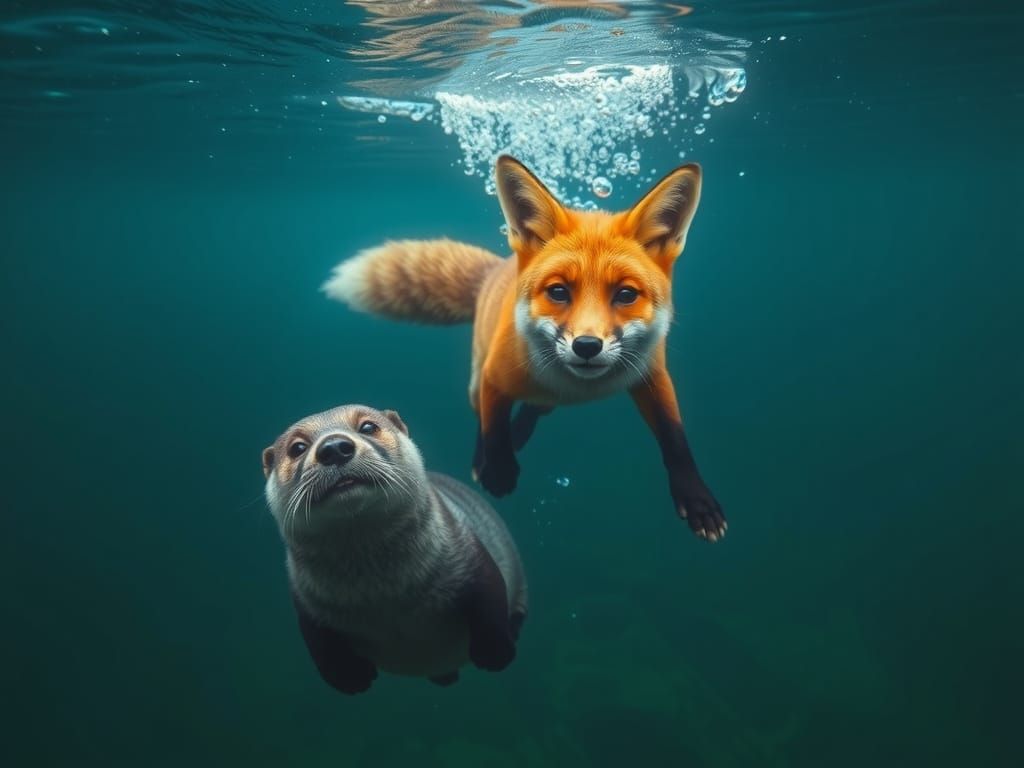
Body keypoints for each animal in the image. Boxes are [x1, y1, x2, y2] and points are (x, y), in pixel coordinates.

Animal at [262, 404, 528, 694]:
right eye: (297, 447)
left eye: (368, 427)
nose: (333, 447)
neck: (389, 596)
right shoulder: (305, 599)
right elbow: (317, 639)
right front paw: (350, 677)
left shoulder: (466, 552)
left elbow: (489, 594)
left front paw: (495, 653)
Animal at [323, 155, 726, 542]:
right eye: (558, 291)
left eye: (626, 294)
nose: (587, 346)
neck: (584, 388)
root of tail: (497, 268)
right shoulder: (495, 374)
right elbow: (492, 425)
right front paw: (498, 469)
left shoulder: (651, 375)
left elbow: (674, 436)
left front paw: (697, 499)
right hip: (476, 378)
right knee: (485, 412)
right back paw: (487, 456)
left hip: (545, 397)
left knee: (535, 407)